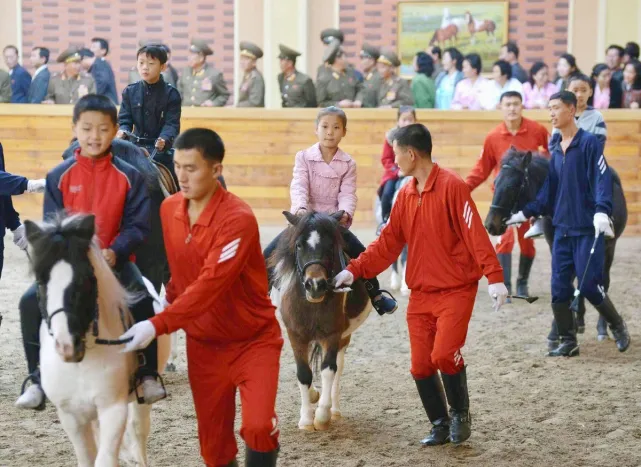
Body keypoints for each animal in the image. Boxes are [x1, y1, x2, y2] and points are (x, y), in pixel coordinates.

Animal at [23, 213, 171, 466]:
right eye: (41, 282)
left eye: (85, 280)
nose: (67, 346)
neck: (82, 362)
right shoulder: (71, 415)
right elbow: (87, 459)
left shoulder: (113, 409)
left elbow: (106, 459)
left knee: (139, 430)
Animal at [268, 211, 371, 431]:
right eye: (299, 245)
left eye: (330, 245)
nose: (315, 285)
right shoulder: (296, 335)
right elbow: (303, 373)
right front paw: (306, 419)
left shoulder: (332, 334)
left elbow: (328, 370)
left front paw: (322, 416)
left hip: (344, 337)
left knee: (338, 367)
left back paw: (334, 410)